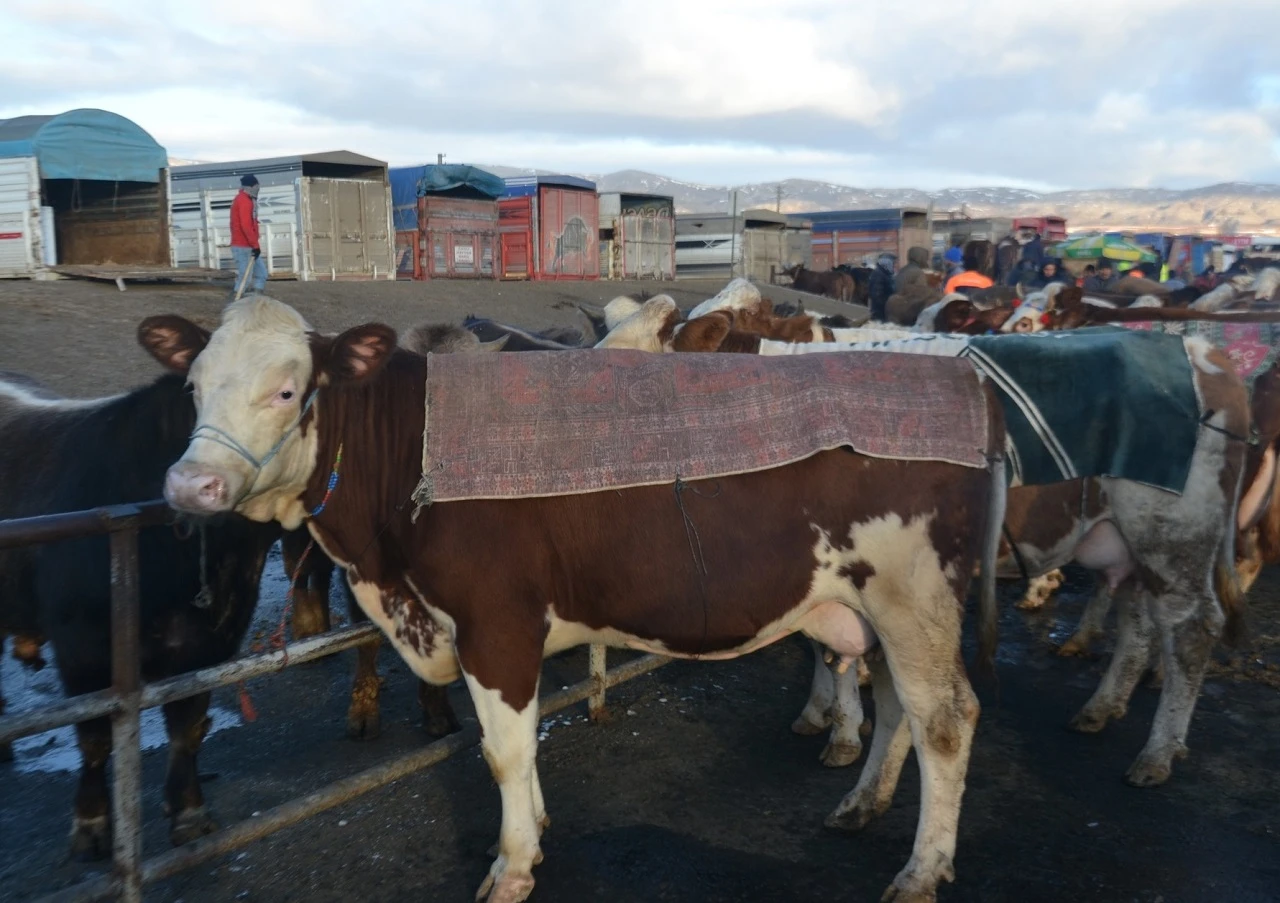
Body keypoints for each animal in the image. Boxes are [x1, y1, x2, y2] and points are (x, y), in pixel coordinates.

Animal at [149, 295, 1008, 901]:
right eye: (190, 387)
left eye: (287, 389)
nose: (191, 485)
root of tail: (965, 378)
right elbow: (518, 744)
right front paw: (533, 829)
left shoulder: (495, 623)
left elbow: (503, 748)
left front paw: (512, 865)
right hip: (880, 612)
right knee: (895, 704)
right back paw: (861, 804)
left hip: (915, 600)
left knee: (944, 719)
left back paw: (921, 870)